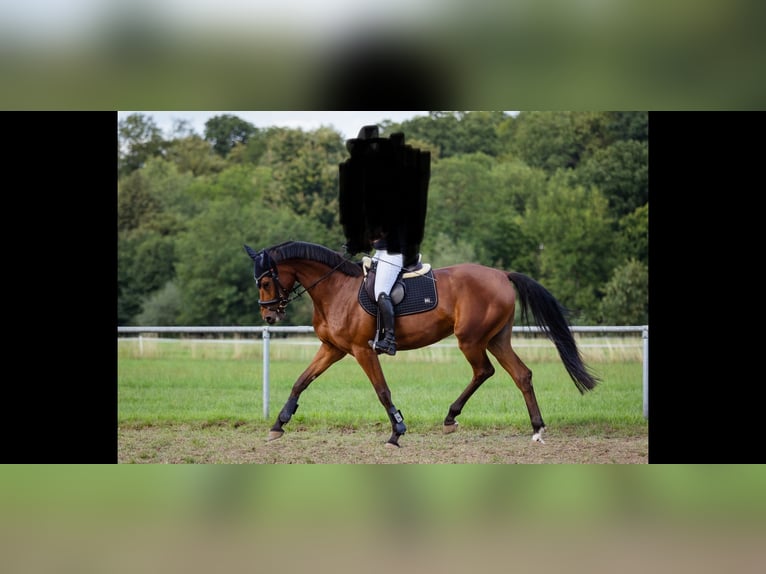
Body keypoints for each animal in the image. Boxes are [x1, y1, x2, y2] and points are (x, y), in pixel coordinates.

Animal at [244, 240, 599, 447]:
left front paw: (396, 431)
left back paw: (452, 417)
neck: (335, 289)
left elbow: (382, 390)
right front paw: (278, 423)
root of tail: (501, 274)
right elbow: (301, 381)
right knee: (521, 375)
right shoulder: (333, 349)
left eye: (266, 282)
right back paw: (535, 428)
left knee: (484, 371)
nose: (269, 316)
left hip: (471, 339)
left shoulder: (361, 350)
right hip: (496, 338)